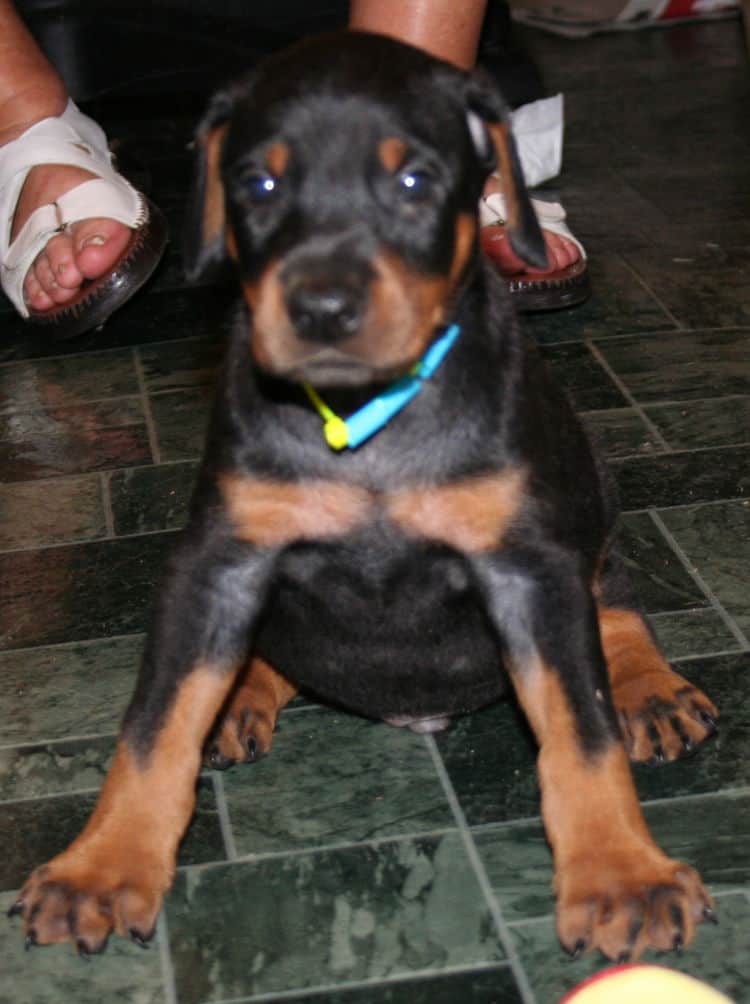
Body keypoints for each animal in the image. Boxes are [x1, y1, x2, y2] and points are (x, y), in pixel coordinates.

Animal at [8, 31, 718, 959]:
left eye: (414, 181)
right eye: (257, 184)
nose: (321, 308)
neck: (365, 422)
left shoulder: (527, 567)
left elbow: (580, 726)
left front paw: (623, 876)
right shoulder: (219, 563)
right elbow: (154, 723)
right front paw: (99, 866)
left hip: (588, 485)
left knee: (617, 597)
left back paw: (649, 687)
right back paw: (240, 694)